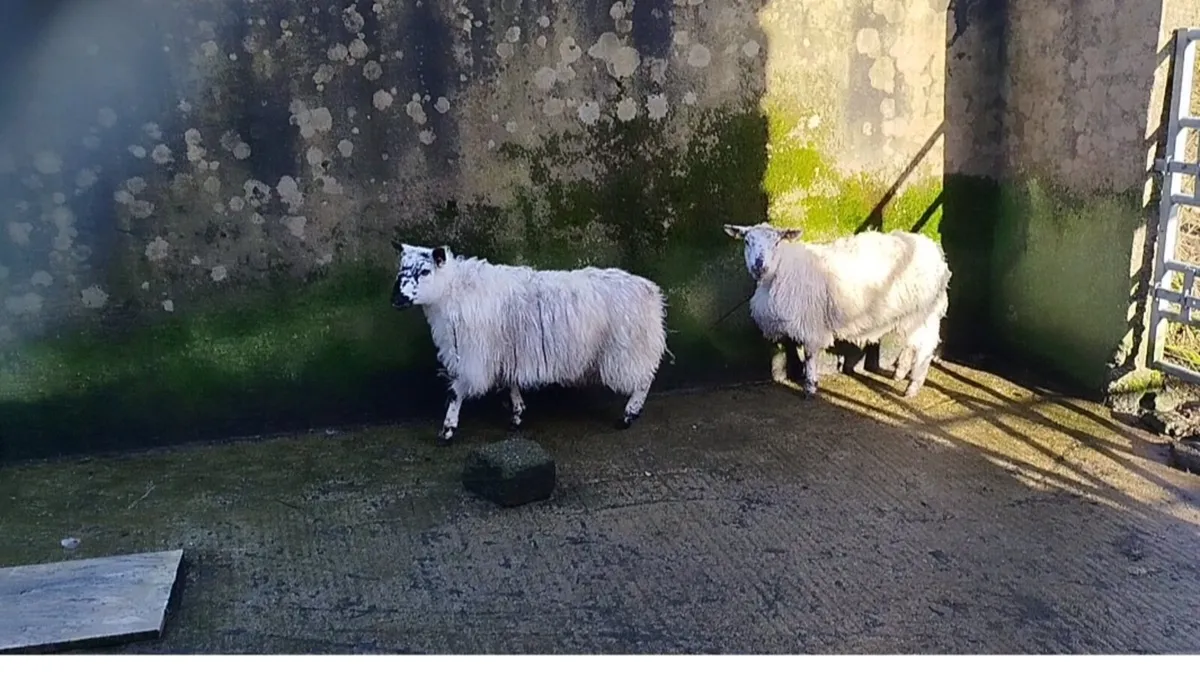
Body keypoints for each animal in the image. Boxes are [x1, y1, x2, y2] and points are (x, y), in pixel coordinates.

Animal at [390, 239, 670, 442]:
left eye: (424, 271)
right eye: (400, 269)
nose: (396, 299)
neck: (452, 292)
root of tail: (651, 292)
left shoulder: (474, 357)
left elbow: (454, 392)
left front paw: (447, 430)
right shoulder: (505, 352)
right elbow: (510, 383)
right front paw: (517, 414)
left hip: (628, 348)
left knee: (643, 380)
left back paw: (629, 415)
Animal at [723, 222, 951, 399]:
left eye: (777, 242)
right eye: (747, 241)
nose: (759, 266)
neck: (780, 269)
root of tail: (935, 252)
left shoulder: (810, 324)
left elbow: (809, 355)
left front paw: (810, 387)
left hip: (924, 311)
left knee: (925, 346)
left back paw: (912, 387)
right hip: (913, 314)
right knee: (913, 344)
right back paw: (901, 373)